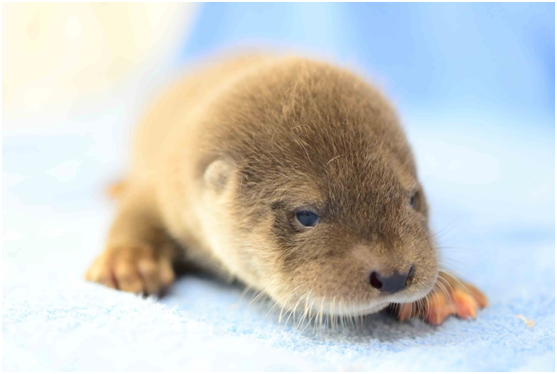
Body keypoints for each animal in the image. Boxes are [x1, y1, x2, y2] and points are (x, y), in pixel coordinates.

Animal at [84, 53, 484, 324]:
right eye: (306, 215)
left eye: (412, 199)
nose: (395, 276)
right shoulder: (167, 186)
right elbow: (135, 213)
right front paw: (129, 261)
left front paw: (445, 290)